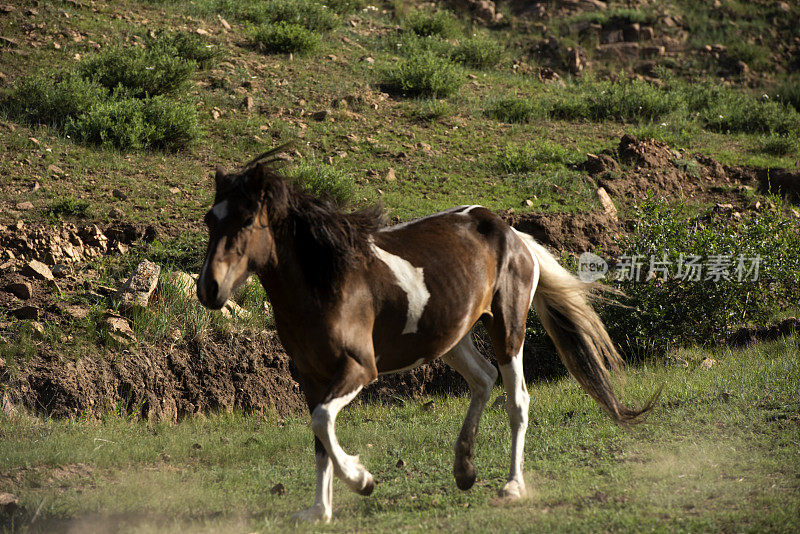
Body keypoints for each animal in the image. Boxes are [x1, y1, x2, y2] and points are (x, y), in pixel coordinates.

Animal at [197, 149, 652, 524]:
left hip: (507, 328)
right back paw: (464, 470)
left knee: (517, 398)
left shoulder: (360, 368)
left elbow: (323, 421)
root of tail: (512, 234)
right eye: (210, 220)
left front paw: (362, 480)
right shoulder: (310, 376)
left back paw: (512, 485)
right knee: (483, 378)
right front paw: (319, 511)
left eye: (248, 220)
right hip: (451, 338)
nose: (209, 289)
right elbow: (319, 436)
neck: (328, 280)